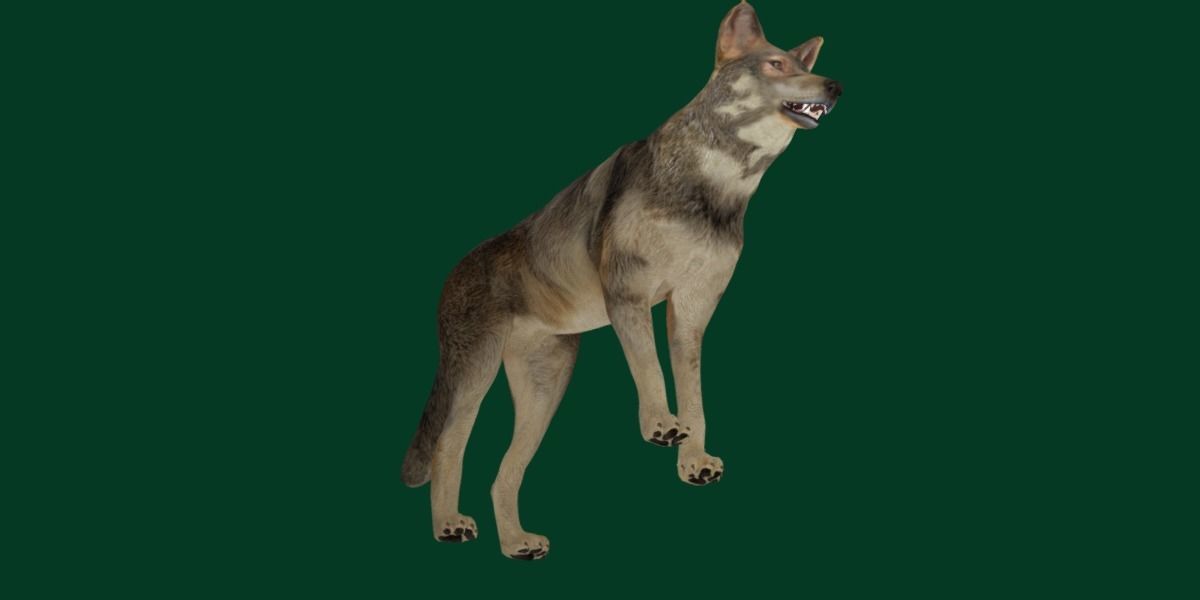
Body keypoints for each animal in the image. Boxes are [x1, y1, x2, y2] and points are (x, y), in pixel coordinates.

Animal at [401, 1, 842, 560]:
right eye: (776, 65)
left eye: (803, 64)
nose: (835, 86)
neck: (715, 184)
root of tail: (452, 272)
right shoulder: (628, 297)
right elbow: (650, 370)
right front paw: (661, 425)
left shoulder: (691, 313)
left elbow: (695, 399)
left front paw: (693, 459)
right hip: (474, 375)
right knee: (446, 451)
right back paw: (449, 526)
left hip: (545, 391)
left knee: (504, 476)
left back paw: (517, 543)